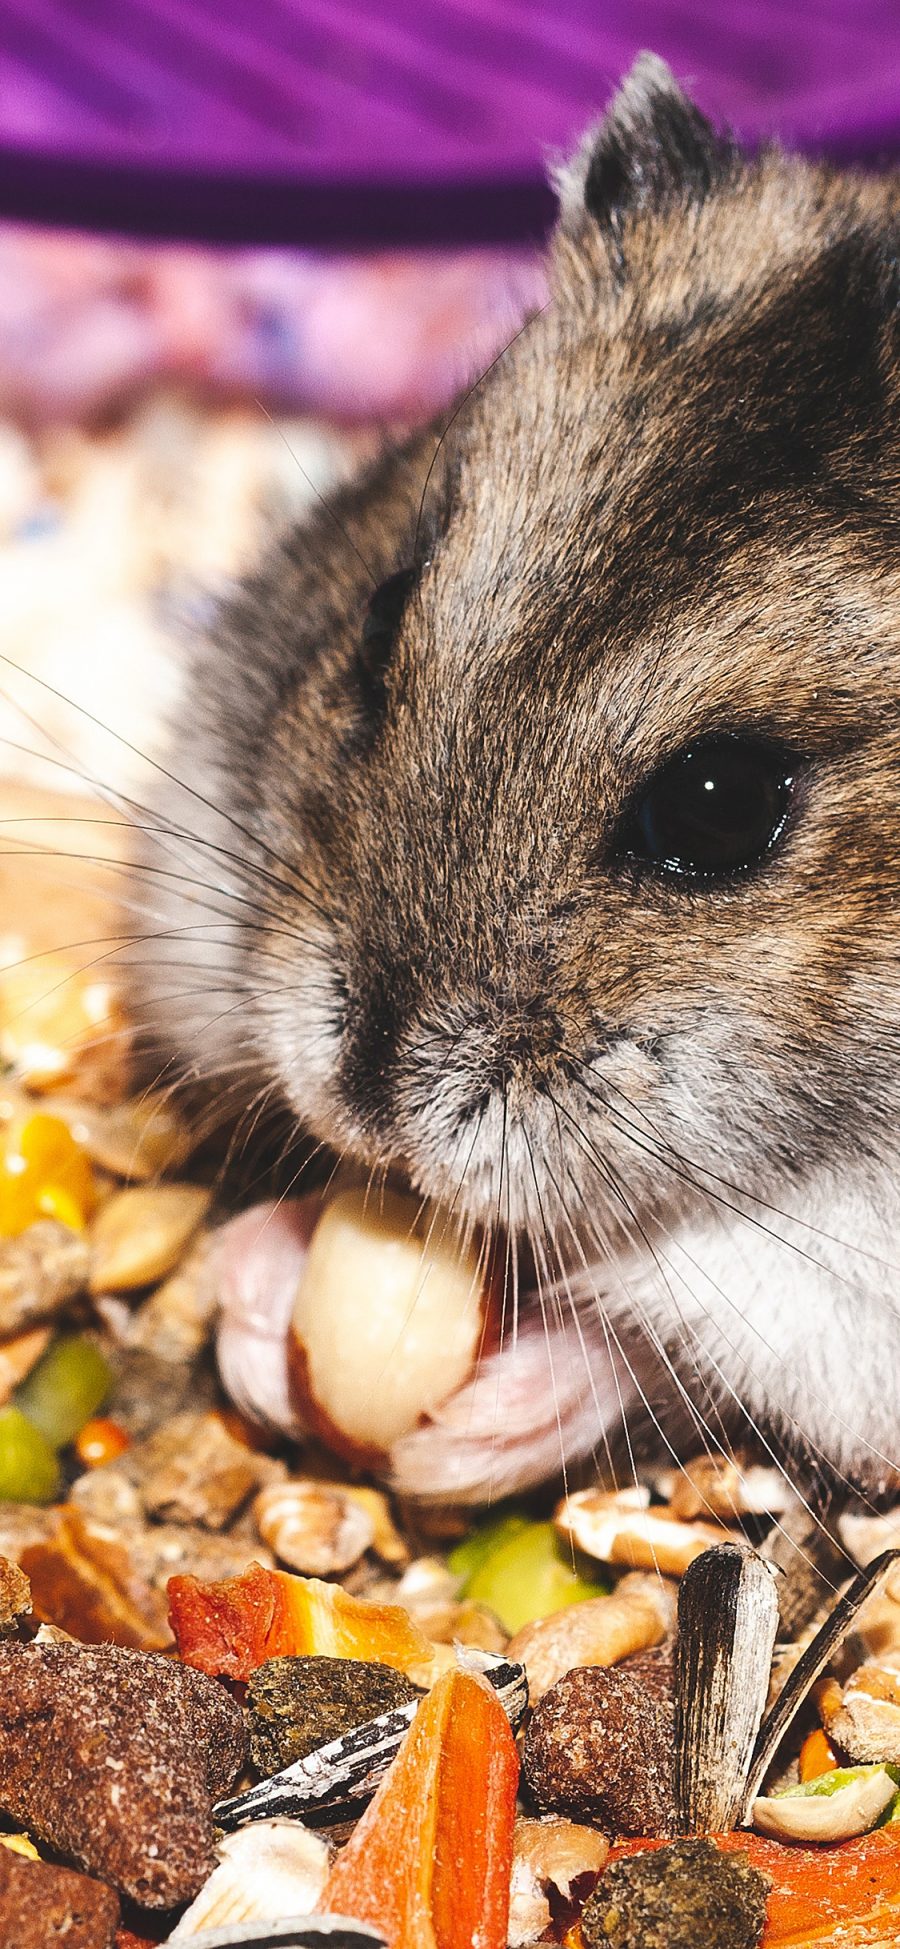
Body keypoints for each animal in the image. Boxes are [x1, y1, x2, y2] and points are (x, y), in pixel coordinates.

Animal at [133, 49, 900, 1504]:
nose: (365, 1100)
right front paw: (261, 1306)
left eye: (724, 806)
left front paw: (464, 1433)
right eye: (384, 614)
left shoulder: (830, 1306)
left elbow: (657, 1342)